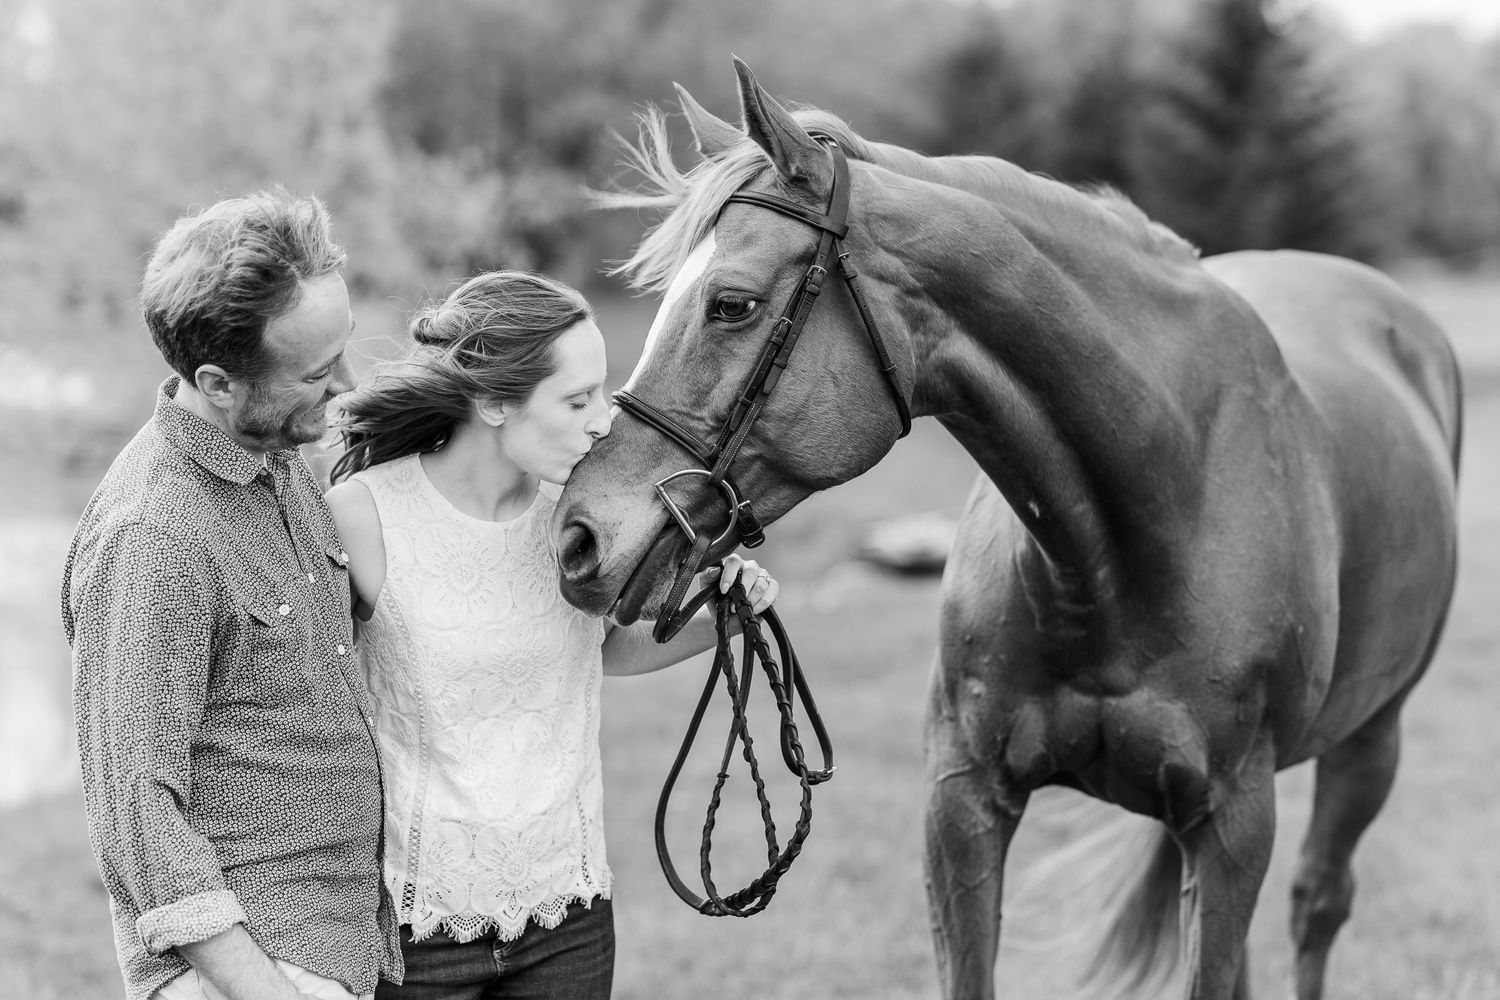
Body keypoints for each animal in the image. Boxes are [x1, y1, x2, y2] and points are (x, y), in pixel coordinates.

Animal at [551, 58, 1462, 1000]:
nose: (579, 536)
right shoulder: (963, 804)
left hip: (1370, 743)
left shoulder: (1234, 824)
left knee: (1318, 902)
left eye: (731, 303)